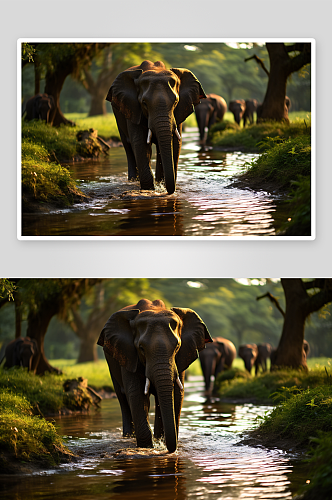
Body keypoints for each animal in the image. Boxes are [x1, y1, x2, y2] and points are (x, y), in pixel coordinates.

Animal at [96, 298, 211, 456]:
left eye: (177, 347)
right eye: (141, 348)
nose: (167, 449)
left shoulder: (181, 358)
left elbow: (177, 393)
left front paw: (160, 442)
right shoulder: (128, 354)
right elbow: (136, 394)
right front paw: (147, 448)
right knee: (122, 397)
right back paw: (128, 437)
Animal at [106, 61, 205, 195]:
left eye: (175, 102)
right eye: (144, 103)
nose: (167, 191)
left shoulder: (179, 112)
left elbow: (175, 142)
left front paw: (161, 185)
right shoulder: (133, 108)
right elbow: (140, 143)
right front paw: (149, 189)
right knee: (128, 146)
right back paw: (133, 180)